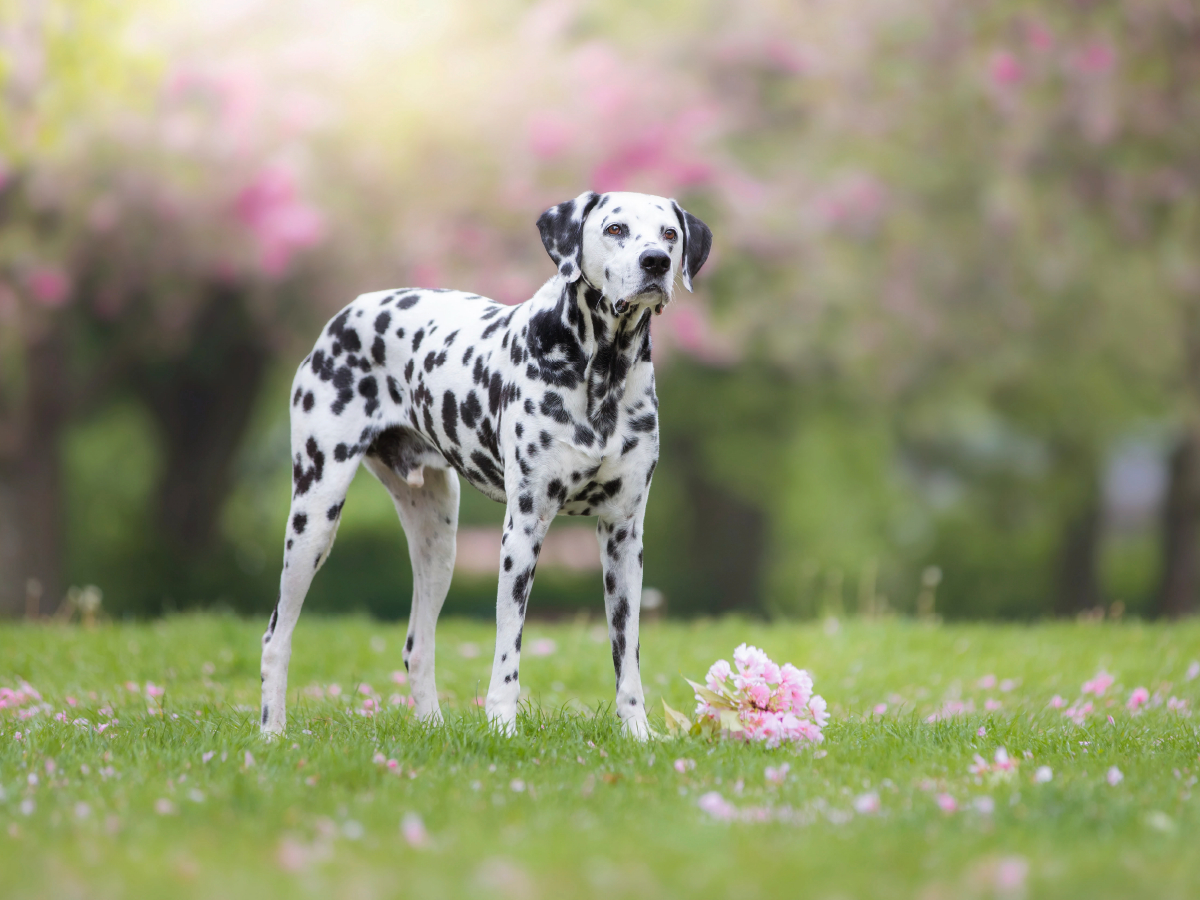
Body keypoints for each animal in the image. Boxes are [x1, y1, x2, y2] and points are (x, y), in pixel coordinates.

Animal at [260, 190, 710, 739]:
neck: (602, 371)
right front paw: (502, 726)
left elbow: (627, 658)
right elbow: (508, 647)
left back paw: (432, 728)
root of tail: (346, 314)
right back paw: (272, 732)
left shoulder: (624, 537)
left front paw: (638, 733)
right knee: (277, 636)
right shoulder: (523, 529)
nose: (656, 262)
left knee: (417, 646)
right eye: (615, 228)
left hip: (438, 541)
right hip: (314, 517)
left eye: (669, 234)